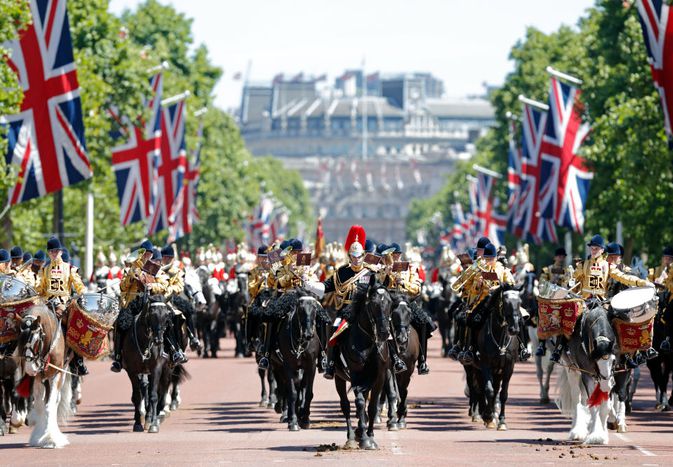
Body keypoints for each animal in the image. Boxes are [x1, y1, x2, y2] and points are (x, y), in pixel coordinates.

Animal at [16, 306, 74, 448]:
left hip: (62, 372)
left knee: (55, 401)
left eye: (37, 341)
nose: (30, 369)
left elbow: (49, 406)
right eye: (20, 340)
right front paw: (38, 437)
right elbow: (40, 406)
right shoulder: (37, 378)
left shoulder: (55, 374)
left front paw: (51, 439)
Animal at [121, 294, 173, 434]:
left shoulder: (156, 368)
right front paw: (138, 423)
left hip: (165, 370)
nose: (159, 340)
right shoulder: (132, 371)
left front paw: (153, 425)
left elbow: (154, 395)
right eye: (152, 314)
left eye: (167, 315)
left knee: (159, 390)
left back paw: (154, 417)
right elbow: (137, 396)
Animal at [270, 292, 324, 432]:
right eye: (300, 309)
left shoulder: (311, 366)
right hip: (278, 367)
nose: (308, 334)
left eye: (315, 308)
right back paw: (287, 414)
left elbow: (307, 392)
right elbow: (292, 393)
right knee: (285, 389)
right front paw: (293, 421)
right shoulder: (288, 366)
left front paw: (305, 419)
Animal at [334, 284, 392, 452]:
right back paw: (352, 437)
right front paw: (365, 439)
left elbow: (372, 406)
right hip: (339, 377)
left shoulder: (379, 377)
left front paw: (370, 436)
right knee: (346, 405)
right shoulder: (356, 375)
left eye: (390, 302)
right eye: (374, 304)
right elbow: (359, 403)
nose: (384, 332)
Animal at [556, 304, 616, 446]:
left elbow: (605, 406)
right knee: (577, 397)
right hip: (572, 369)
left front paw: (603, 434)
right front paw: (595, 435)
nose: (605, 385)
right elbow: (593, 405)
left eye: (614, 361)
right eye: (595, 361)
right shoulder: (586, 374)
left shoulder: (610, 378)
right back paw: (577, 431)